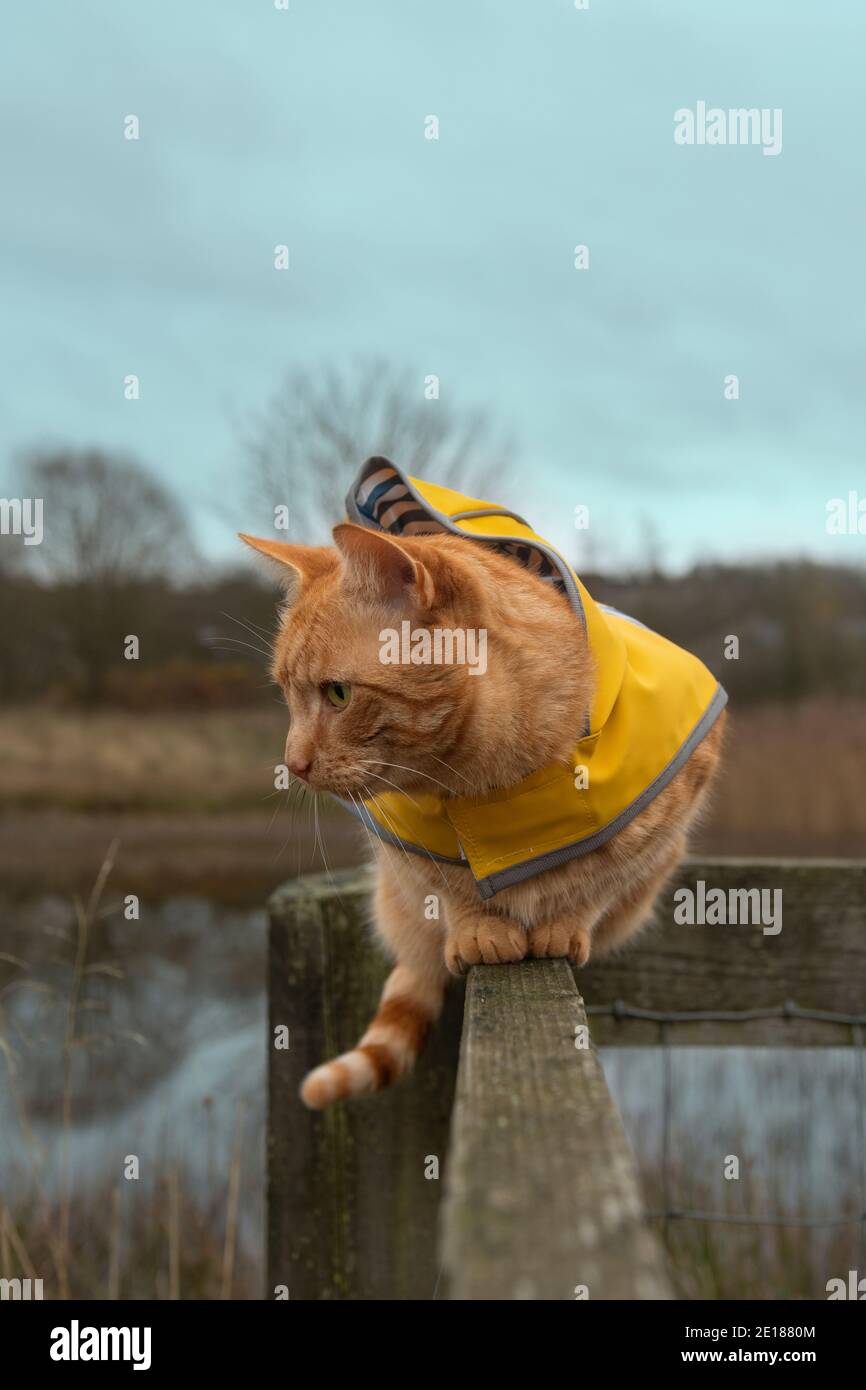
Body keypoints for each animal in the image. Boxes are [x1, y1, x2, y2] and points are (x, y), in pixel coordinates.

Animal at [241, 517, 722, 1112]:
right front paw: (479, 928)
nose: (293, 764)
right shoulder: (404, 846)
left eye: (338, 694)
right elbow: (449, 887)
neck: (494, 784)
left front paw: (566, 922)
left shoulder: (666, 826)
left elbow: (603, 880)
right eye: (286, 694)